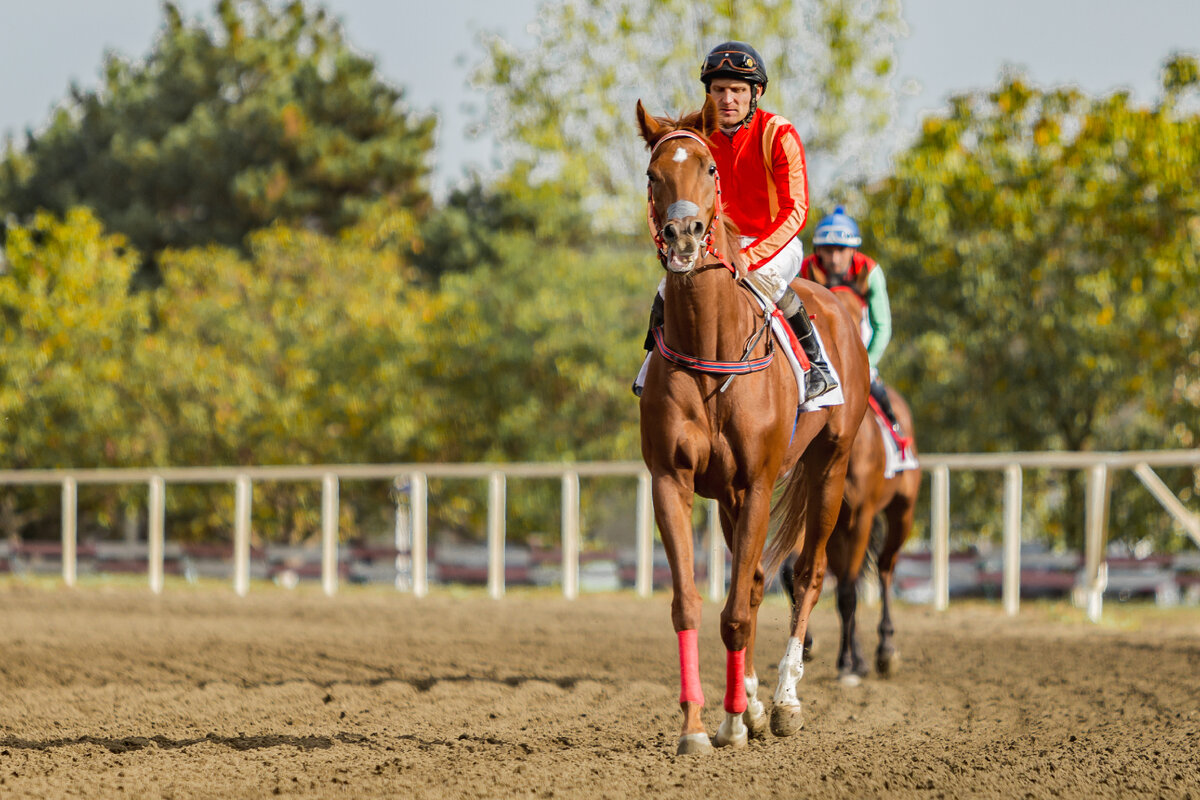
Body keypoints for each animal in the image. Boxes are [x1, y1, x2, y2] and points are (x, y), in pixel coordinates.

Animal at [638, 97, 873, 753]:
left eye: (709, 171)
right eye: (653, 174)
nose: (684, 236)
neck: (710, 346)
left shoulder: (763, 481)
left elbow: (739, 611)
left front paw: (739, 718)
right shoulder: (673, 479)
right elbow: (692, 603)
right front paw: (704, 724)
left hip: (829, 468)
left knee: (809, 574)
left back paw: (787, 700)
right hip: (731, 496)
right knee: (760, 577)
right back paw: (752, 705)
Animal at [782, 278, 921, 686]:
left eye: (861, 314)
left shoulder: (861, 514)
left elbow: (847, 590)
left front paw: (849, 662)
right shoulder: (815, 509)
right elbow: (793, 570)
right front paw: (809, 643)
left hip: (901, 512)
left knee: (885, 568)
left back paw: (883, 650)